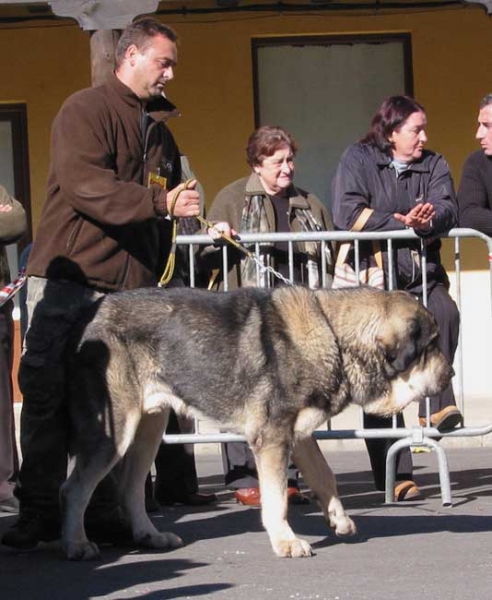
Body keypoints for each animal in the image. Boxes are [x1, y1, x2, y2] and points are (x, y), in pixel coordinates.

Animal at [60, 284, 454, 556]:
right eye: (432, 345)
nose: (450, 373)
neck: (335, 336)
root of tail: (86, 315)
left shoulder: (299, 434)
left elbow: (325, 476)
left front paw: (338, 519)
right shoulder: (273, 438)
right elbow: (277, 497)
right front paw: (286, 541)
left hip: (149, 428)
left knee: (130, 488)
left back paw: (149, 536)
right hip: (116, 431)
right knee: (75, 488)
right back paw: (76, 543)